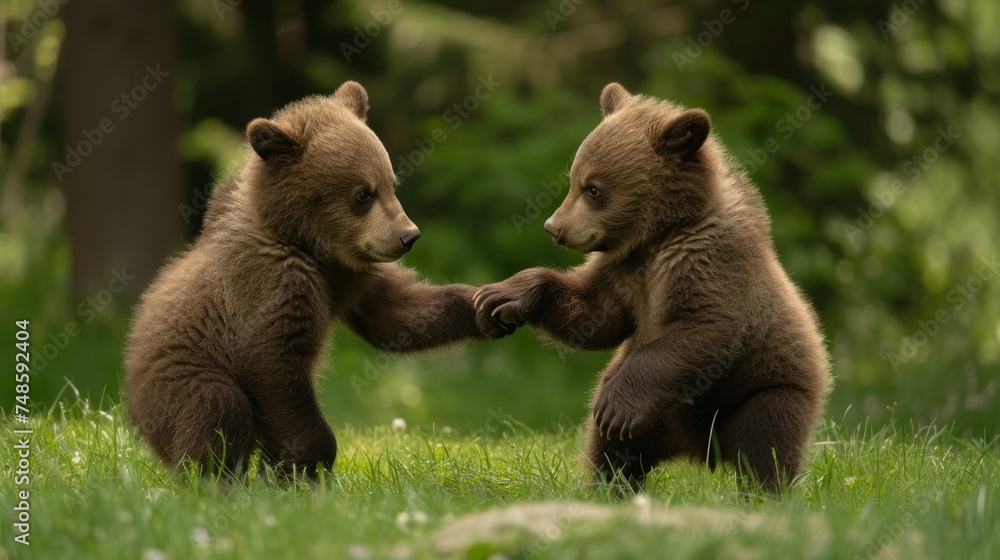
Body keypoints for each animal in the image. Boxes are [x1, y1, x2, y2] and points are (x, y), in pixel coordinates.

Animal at [125, 81, 499, 477]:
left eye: (391, 183)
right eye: (363, 193)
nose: (408, 236)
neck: (310, 245)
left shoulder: (350, 277)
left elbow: (397, 315)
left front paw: (491, 303)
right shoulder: (267, 284)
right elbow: (272, 362)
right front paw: (302, 464)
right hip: (180, 377)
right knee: (216, 408)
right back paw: (215, 478)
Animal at [474, 83, 832, 492]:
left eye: (593, 189)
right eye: (573, 179)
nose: (554, 227)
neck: (658, 235)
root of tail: (702, 451)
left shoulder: (711, 265)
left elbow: (705, 327)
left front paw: (614, 407)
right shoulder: (623, 274)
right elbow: (595, 316)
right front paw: (501, 295)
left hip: (765, 390)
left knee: (766, 446)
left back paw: (764, 492)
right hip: (658, 420)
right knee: (613, 451)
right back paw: (607, 488)